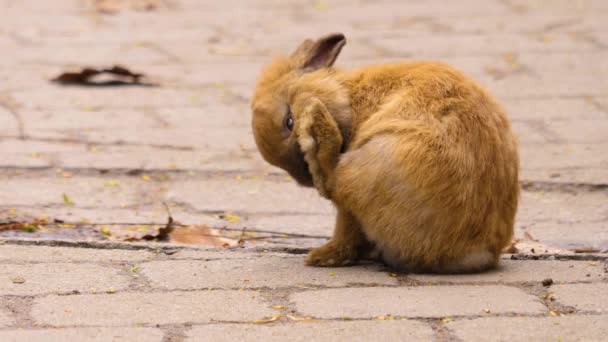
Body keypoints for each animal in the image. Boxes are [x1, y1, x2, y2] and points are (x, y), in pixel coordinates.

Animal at [251, 34, 516, 272]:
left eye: (289, 121)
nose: (305, 178)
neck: (348, 94)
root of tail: (474, 253)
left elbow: (346, 225)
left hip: (362, 171)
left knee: (336, 189)